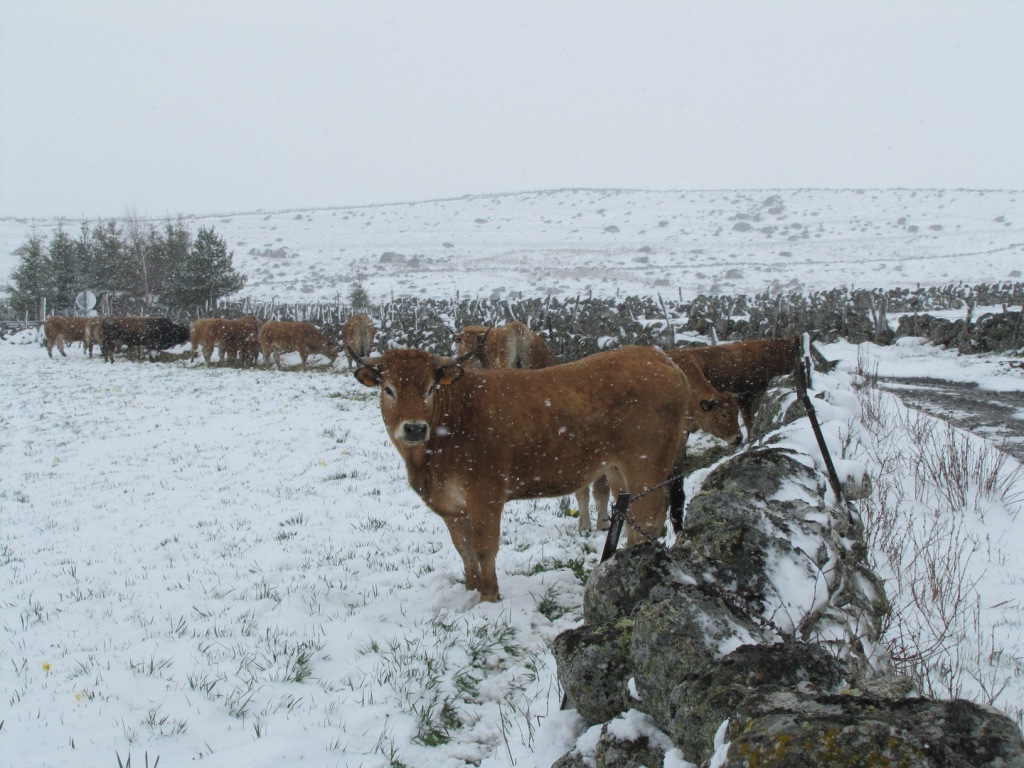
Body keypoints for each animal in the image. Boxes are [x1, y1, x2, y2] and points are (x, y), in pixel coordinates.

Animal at [353, 345, 692, 602]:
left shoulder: (485, 496)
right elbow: (464, 550)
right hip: (619, 471)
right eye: (389, 389)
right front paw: (471, 590)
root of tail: (655, 355)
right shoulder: (451, 507)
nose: (414, 428)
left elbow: (483, 548)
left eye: (429, 388)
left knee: (649, 519)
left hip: (646, 466)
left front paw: (488, 598)